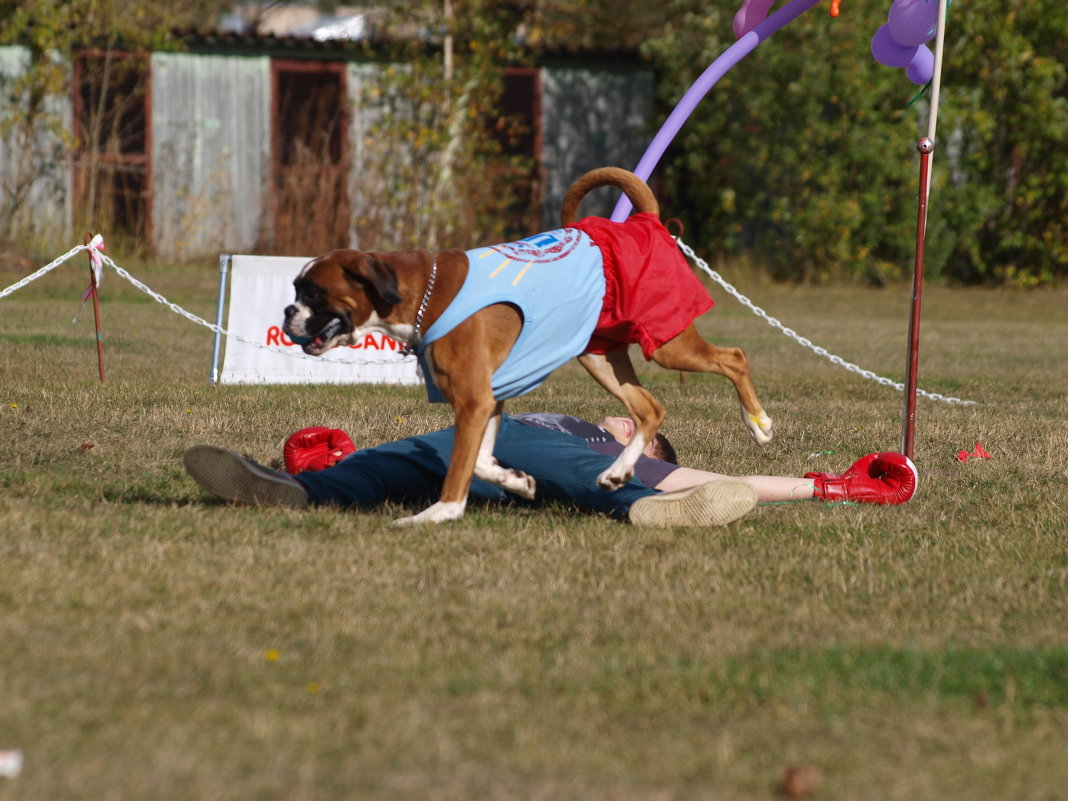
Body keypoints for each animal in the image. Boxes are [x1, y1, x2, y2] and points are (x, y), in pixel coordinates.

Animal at [281, 167, 768, 527]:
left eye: (314, 293)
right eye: (296, 289)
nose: (287, 312)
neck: (425, 294)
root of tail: (643, 221)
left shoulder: (474, 401)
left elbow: (460, 466)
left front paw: (439, 514)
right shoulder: (489, 400)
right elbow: (480, 460)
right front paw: (516, 481)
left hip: (667, 343)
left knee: (735, 358)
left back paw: (759, 424)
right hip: (599, 356)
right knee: (649, 409)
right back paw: (617, 472)